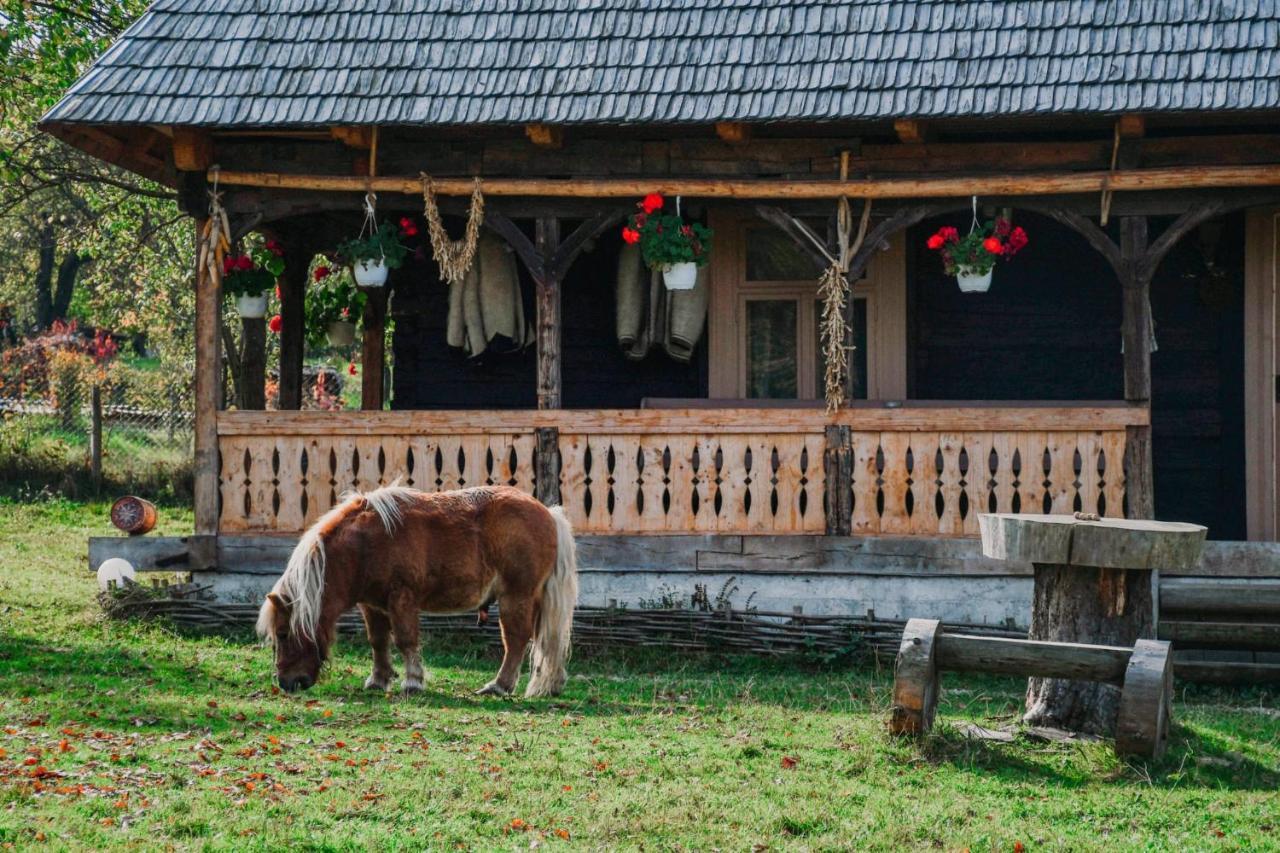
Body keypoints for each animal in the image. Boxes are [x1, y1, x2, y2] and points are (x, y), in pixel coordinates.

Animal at [257, 484, 578, 696]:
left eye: (283, 634)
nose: (285, 683)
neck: (364, 546)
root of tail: (548, 513)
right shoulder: (371, 605)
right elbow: (378, 642)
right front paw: (378, 680)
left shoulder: (402, 600)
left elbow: (405, 640)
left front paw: (412, 681)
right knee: (544, 641)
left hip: (516, 597)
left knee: (516, 640)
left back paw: (499, 686)